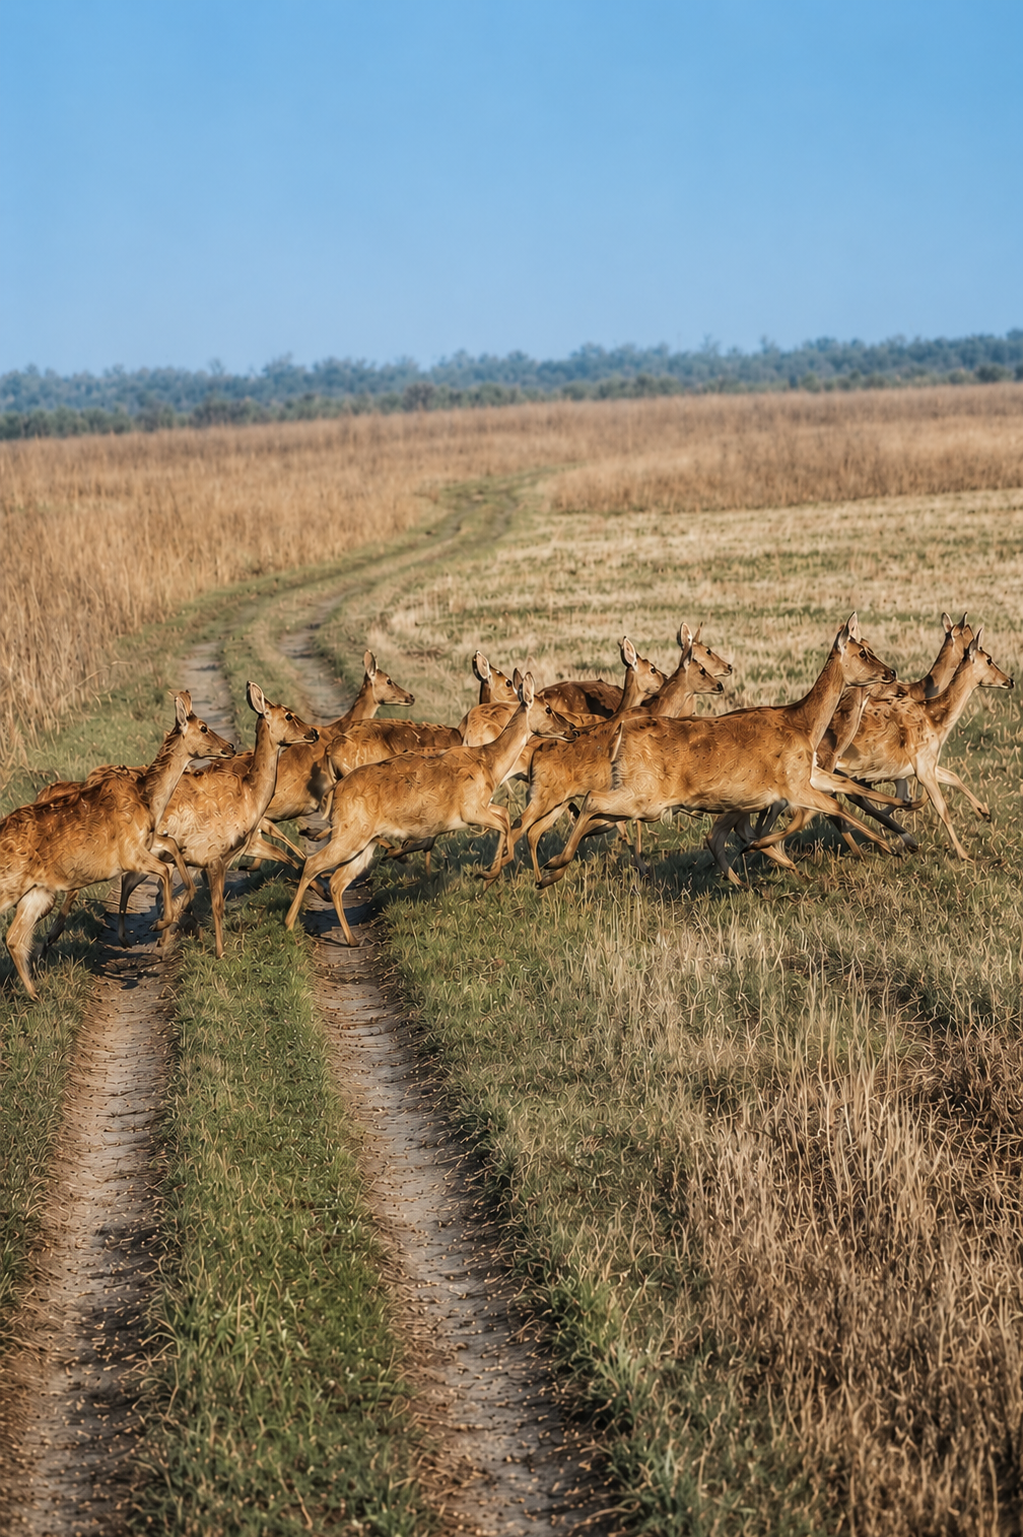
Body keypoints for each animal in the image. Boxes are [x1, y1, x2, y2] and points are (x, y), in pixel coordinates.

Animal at [1, 694, 234, 998]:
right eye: (204, 727)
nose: (230, 747)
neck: (147, 801)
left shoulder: (143, 849)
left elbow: (168, 861)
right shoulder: (129, 853)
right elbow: (165, 871)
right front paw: (160, 924)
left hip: (37, 893)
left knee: (14, 938)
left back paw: (36, 994)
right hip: (10, 884)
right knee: (15, 936)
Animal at [118, 684, 319, 958]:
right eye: (288, 715)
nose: (314, 732)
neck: (249, 797)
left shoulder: (222, 855)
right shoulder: (214, 855)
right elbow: (216, 905)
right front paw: (220, 952)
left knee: (135, 882)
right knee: (136, 882)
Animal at [283, 675, 578, 945]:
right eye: (548, 709)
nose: (573, 729)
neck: (489, 764)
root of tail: (335, 791)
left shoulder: (480, 807)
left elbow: (504, 816)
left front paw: (490, 875)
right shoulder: (470, 810)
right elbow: (504, 822)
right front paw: (488, 874)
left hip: (362, 842)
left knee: (337, 881)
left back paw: (351, 938)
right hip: (350, 834)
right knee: (313, 864)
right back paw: (288, 924)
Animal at [538, 617, 908, 890]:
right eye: (862, 652)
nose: (891, 672)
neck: (803, 723)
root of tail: (620, 737)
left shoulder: (805, 776)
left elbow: (844, 792)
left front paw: (902, 823)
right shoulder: (792, 785)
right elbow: (832, 807)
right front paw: (891, 845)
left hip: (646, 795)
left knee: (600, 814)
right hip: (647, 797)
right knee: (593, 803)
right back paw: (551, 870)